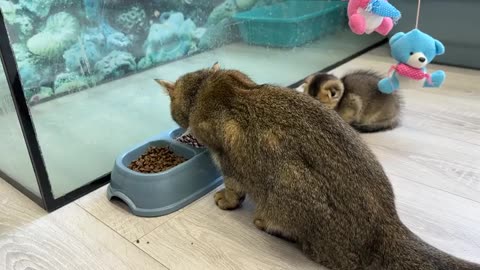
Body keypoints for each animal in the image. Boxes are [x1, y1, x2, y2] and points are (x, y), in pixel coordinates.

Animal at [156, 62, 478, 270]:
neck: (207, 86)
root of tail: (387, 223)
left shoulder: (226, 156)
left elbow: (233, 184)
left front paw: (227, 199)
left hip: (290, 181)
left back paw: (265, 222)